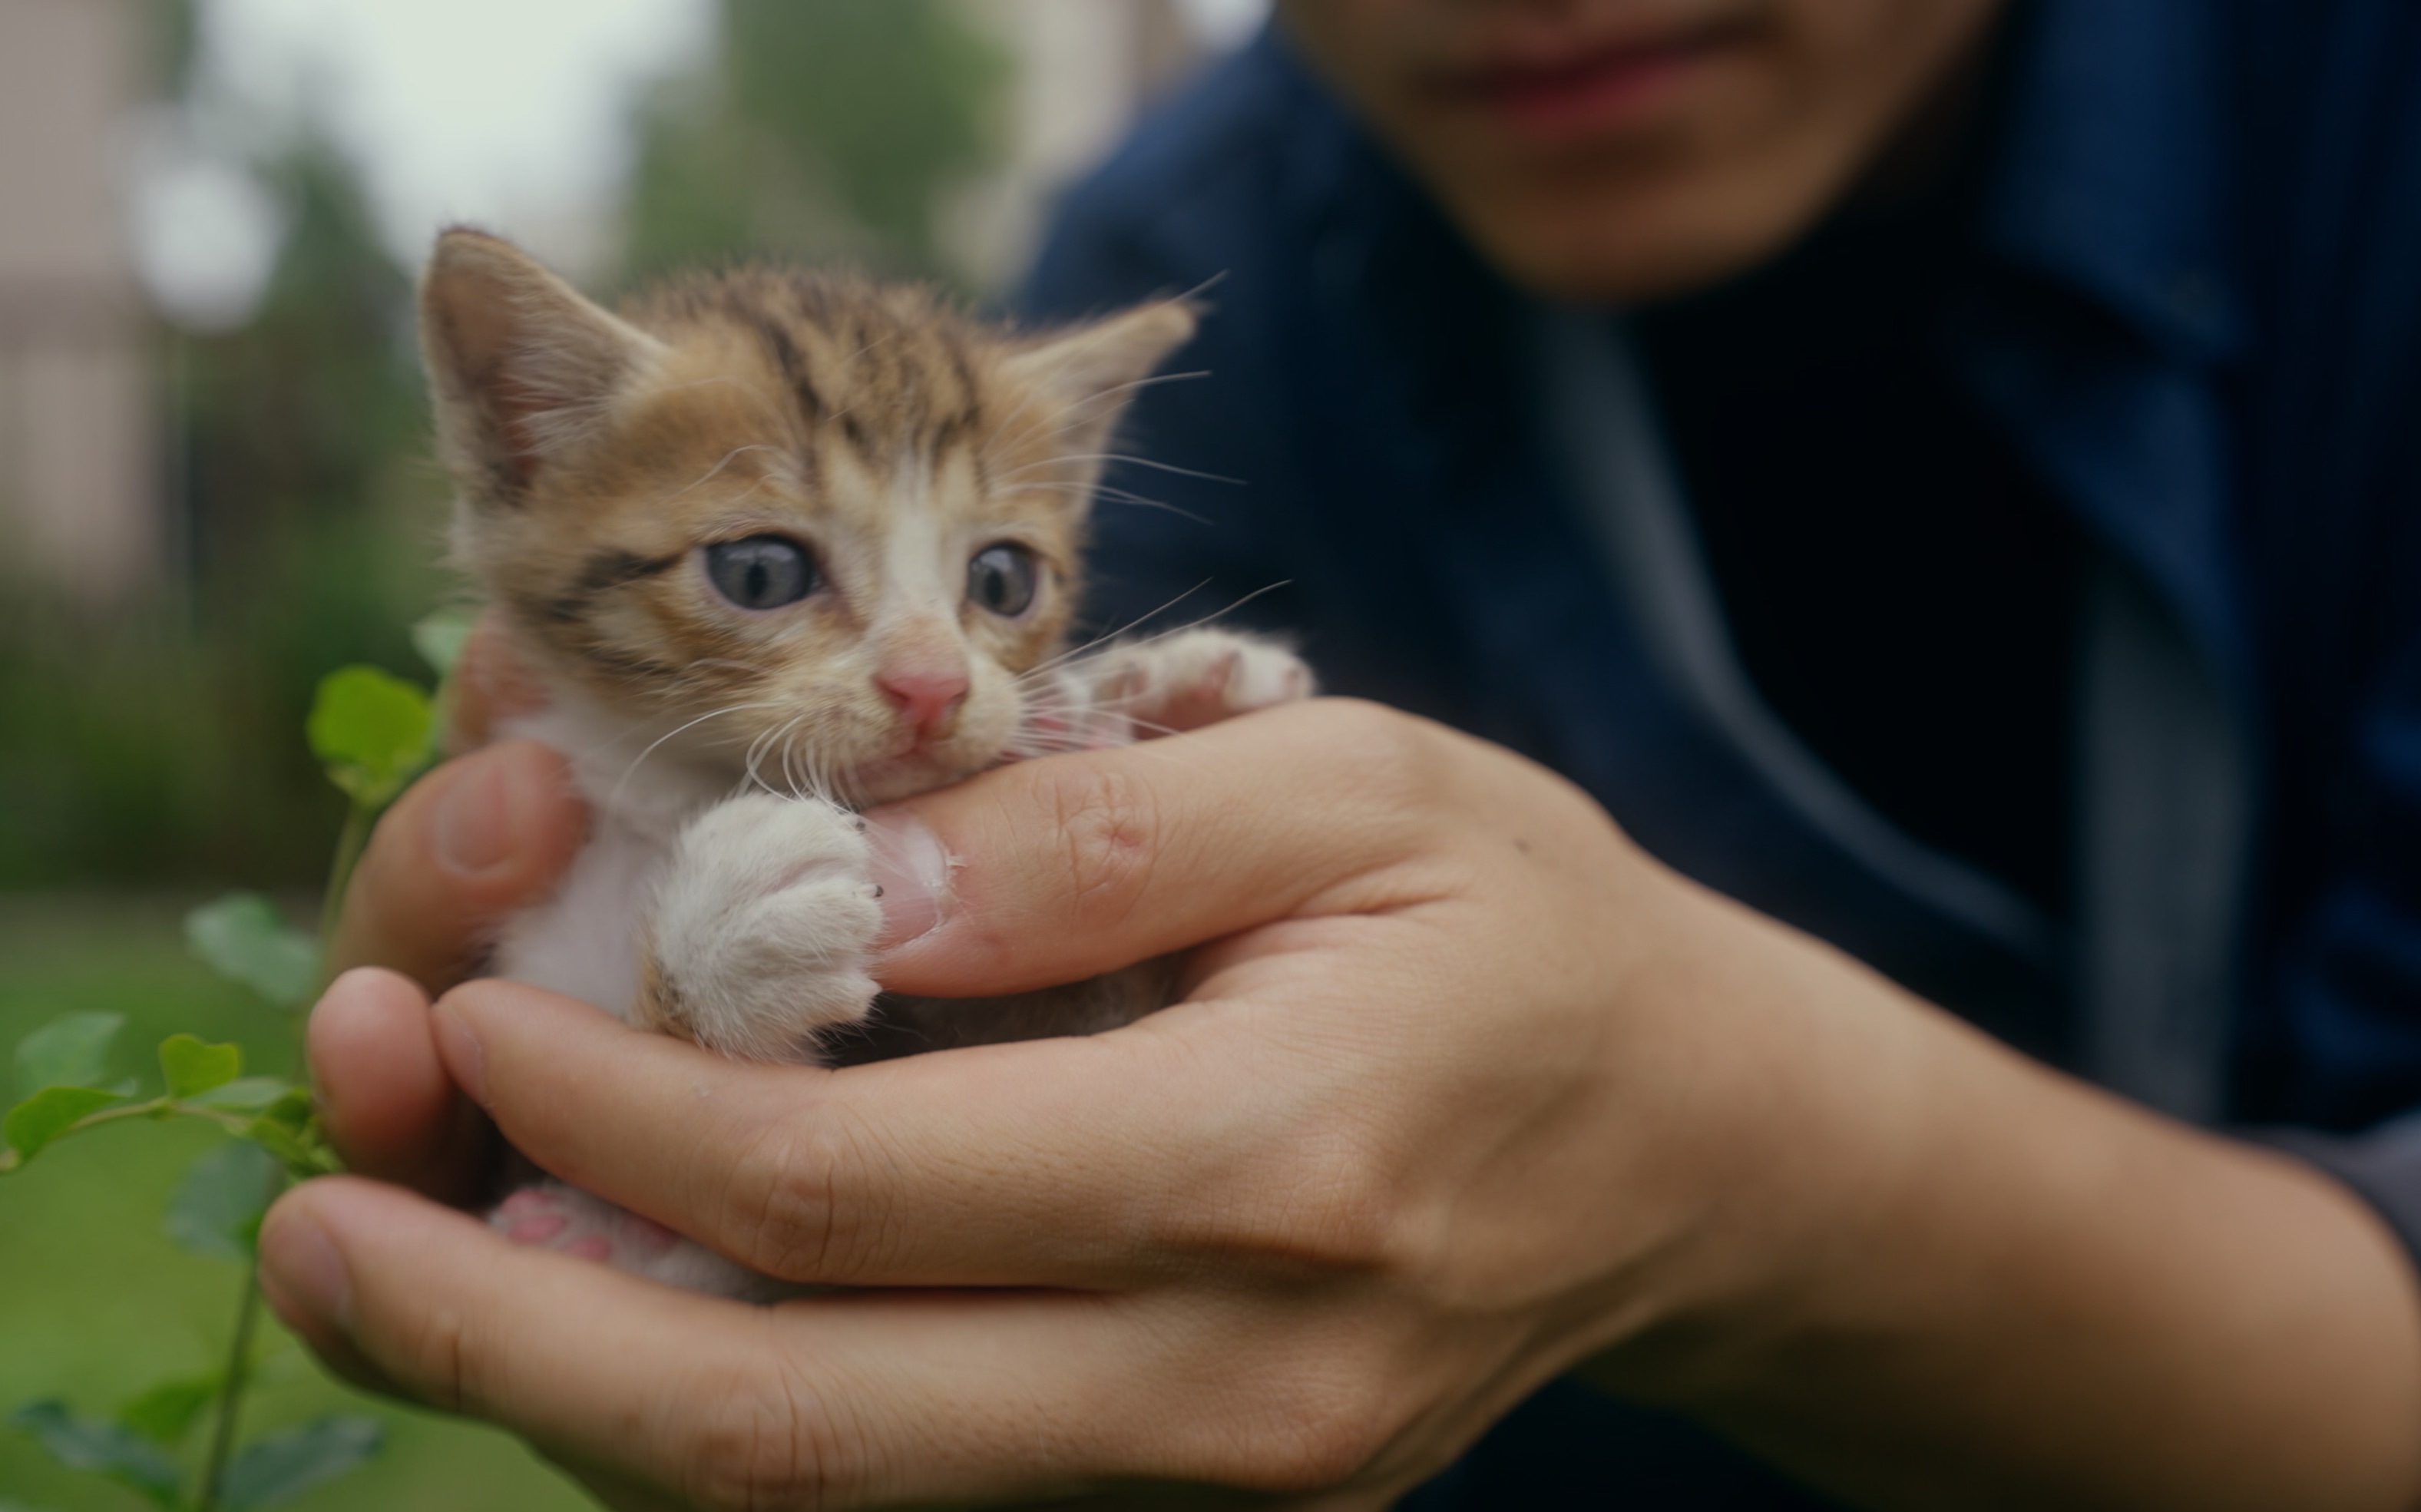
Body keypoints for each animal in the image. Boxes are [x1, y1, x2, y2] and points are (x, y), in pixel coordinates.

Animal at [425, 230, 1317, 1289]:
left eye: (1003, 579)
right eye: (759, 571)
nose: (932, 685)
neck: (684, 791)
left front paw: (1170, 688)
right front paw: (725, 926)